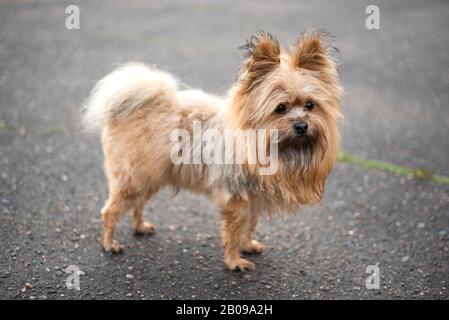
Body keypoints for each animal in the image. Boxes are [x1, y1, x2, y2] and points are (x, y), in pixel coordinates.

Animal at [83, 30, 344, 270]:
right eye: (280, 108)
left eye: (310, 105)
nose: (302, 125)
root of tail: (132, 105)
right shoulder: (236, 200)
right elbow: (233, 232)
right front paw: (234, 261)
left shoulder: (253, 200)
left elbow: (249, 226)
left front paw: (247, 246)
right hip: (135, 177)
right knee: (110, 211)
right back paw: (109, 244)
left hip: (151, 177)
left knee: (137, 204)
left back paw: (139, 227)